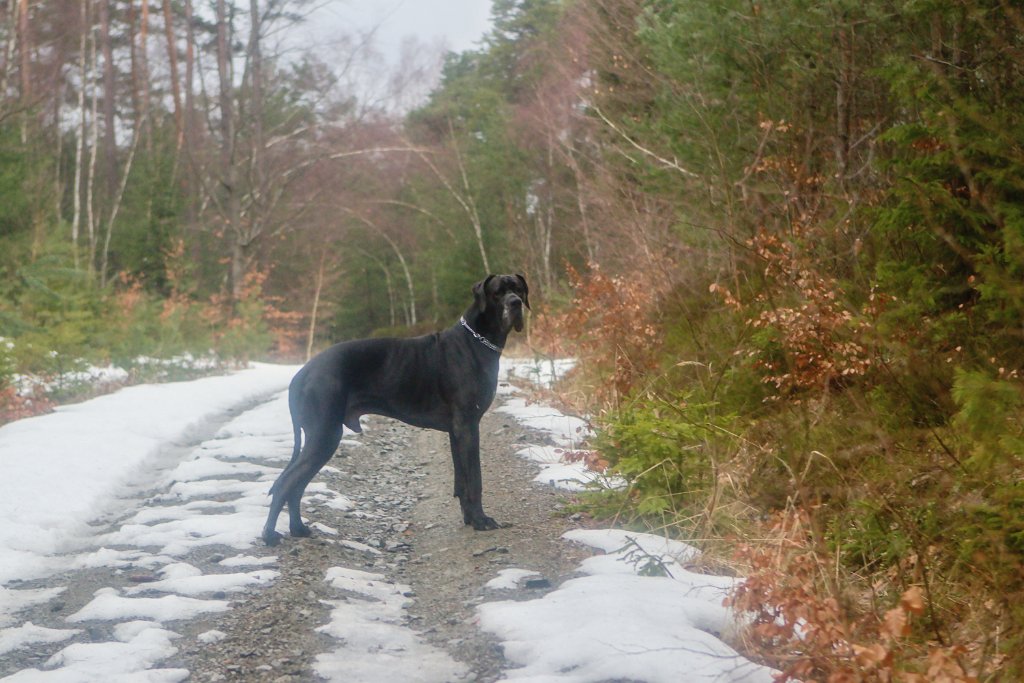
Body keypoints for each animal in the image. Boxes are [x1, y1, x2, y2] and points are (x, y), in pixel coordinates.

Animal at [264, 274, 532, 548]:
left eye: (519, 289)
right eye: (498, 292)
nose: (516, 303)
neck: (476, 340)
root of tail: (303, 373)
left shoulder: (456, 431)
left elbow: (461, 480)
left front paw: (469, 518)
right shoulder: (468, 426)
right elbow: (474, 479)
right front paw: (481, 521)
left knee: (296, 485)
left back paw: (298, 529)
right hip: (324, 435)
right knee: (286, 482)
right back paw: (270, 535)